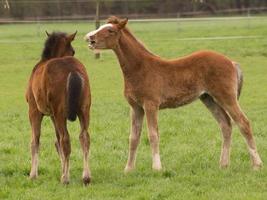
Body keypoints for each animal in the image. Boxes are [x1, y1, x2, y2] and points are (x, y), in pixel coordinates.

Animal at [26, 31, 91, 184]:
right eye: (73, 51)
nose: (72, 54)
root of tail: (72, 70)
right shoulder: (52, 116)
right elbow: (57, 141)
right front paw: (63, 169)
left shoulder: (34, 111)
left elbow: (35, 141)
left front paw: (33, 174)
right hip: (84, 110)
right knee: (84, 137)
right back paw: (85, 176)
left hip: (60, 113)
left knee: (66, 139)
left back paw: (65, 179)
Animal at [86, 16, 264, 172]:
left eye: (110, 30)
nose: (89, 38)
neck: (140, 68)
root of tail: (231, 62)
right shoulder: (135, 107)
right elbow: (133, 137)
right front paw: (128, 169)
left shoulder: (151, 105)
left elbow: (153, 135)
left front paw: (157, 168)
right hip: (208, 98)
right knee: (225, 124)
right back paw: (224, 164)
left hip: (226, 97)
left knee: (243, 123)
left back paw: (257, 165)